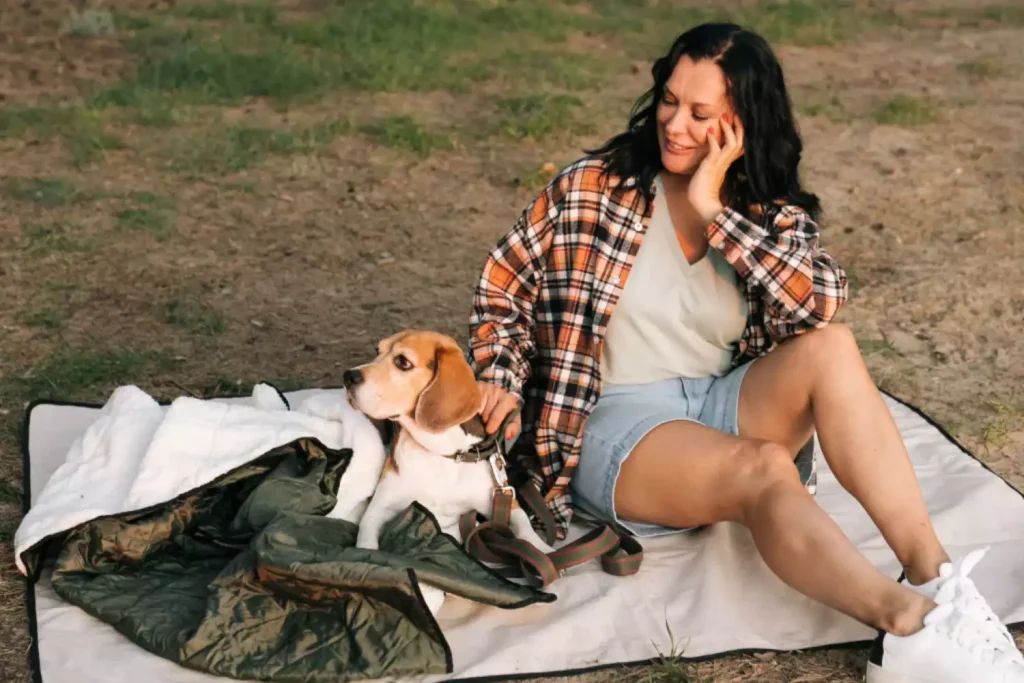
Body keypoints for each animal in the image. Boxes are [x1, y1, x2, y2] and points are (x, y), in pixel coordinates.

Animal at [342, 327, 552, 557]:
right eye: (377, 351)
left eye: (403, 362)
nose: (348, 376)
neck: (440, 453)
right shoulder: (378, 509)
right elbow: (367, 539)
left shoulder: (502, 499)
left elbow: (524, 527)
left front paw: (545, 551)